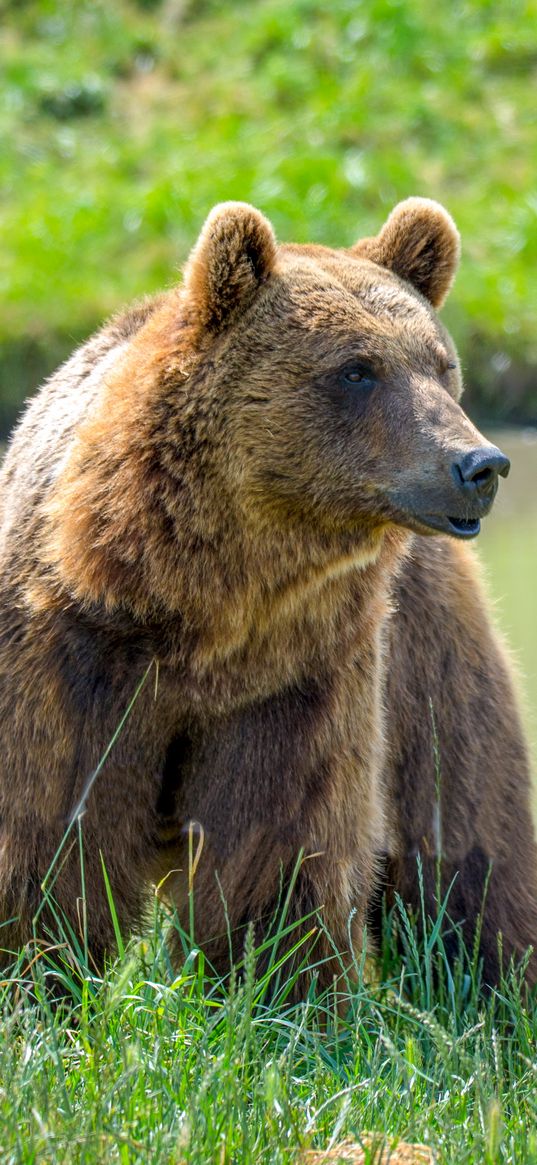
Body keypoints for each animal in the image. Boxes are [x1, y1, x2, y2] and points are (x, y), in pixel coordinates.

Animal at [1, 198, 535, 992]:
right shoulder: (75, 651)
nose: (479, 463)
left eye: (442, 366)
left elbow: (279, 842)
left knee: (465, 820)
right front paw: (44, 974)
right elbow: (52, 827)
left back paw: (490, 979)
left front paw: (271, 979)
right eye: (357, 369)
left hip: (427, 647)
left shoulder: (300, 673)